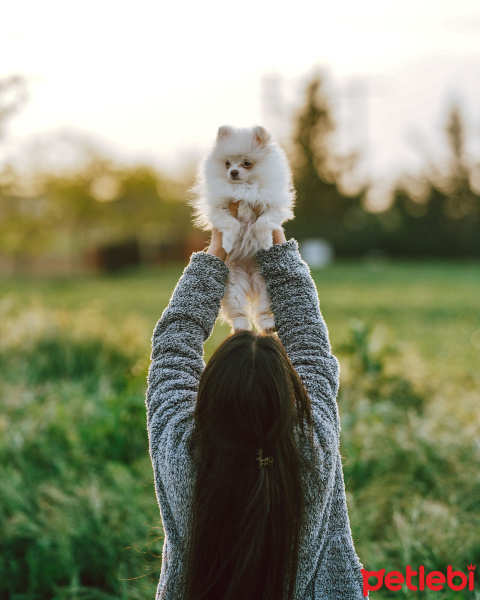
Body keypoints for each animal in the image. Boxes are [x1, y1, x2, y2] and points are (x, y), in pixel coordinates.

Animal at [189, 126, 294, 332]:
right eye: (227, 164)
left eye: (247, 163)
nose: (233, 172)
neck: (244, 188)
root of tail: (250, 281)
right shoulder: (219, 210)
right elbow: (233, 223)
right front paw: (229, 243)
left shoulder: (272, 206)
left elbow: (263, 222)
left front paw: (266, 242)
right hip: (232, 287)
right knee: (238, 312)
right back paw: (241, 328)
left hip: (266, 286)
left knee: (263, 310)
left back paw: (267, 325)